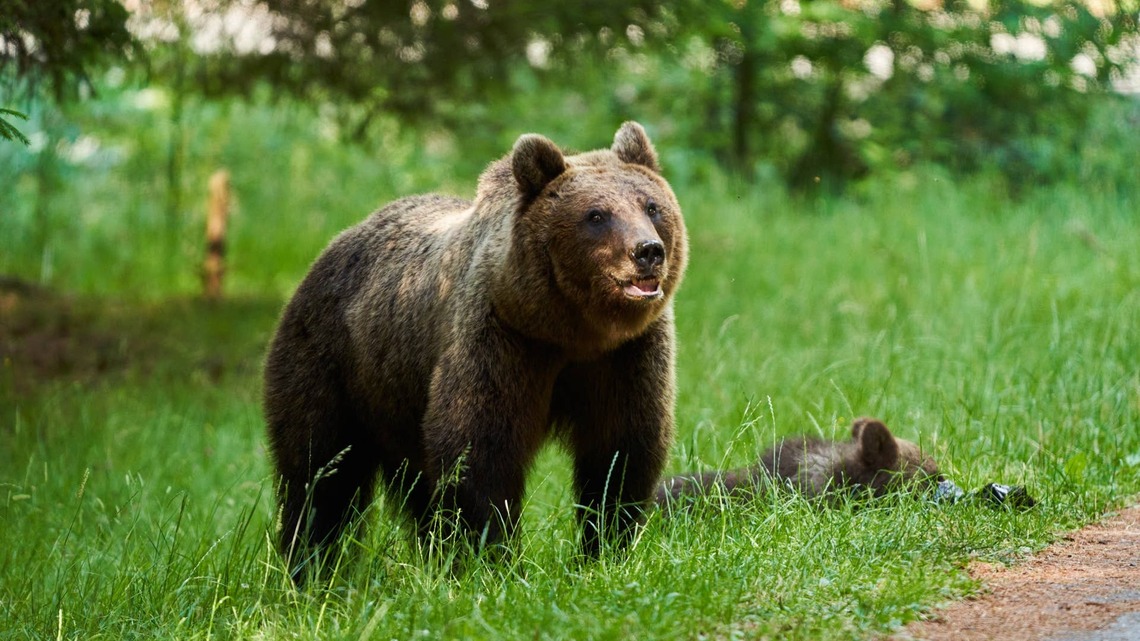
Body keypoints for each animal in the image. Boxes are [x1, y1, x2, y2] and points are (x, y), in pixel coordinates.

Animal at [264, 122, 687, 578]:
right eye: (595, 215)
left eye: (651, 206)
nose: (647, 251)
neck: (571, 332)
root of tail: (334, 244)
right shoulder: (501, 339)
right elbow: (479, 449)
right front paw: (492, 558)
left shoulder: (625, 356)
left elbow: (620, 451)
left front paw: (606, 549)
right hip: (334, 364)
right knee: (320, 473)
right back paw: (310, 565)